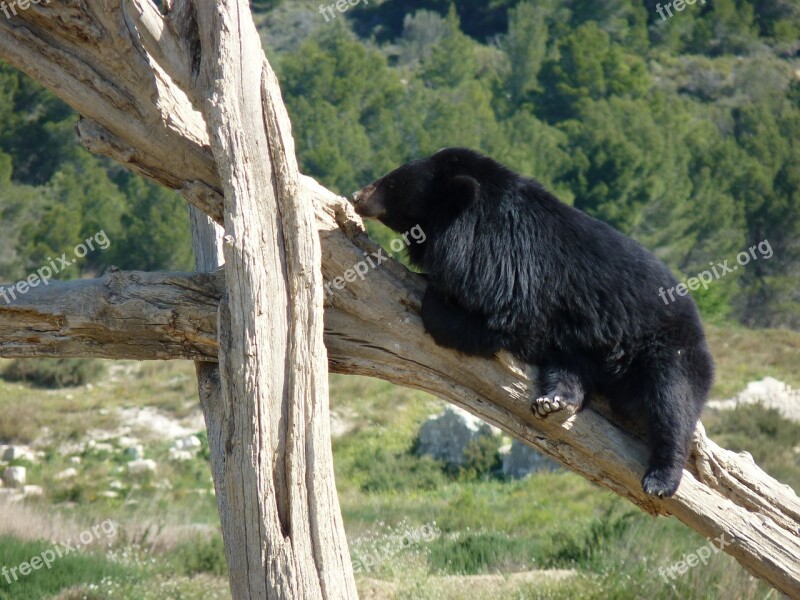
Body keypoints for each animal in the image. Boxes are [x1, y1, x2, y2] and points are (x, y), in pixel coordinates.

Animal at [354, 149, 716, 496]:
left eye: (392, 183)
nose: (357, 196)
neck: (471, 227)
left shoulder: (510, 272)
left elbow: (497, 324)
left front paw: (436, 296)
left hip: (665, 349)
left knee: (671, 405)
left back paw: (660, 479)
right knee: (570, 370)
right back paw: (554, 402)